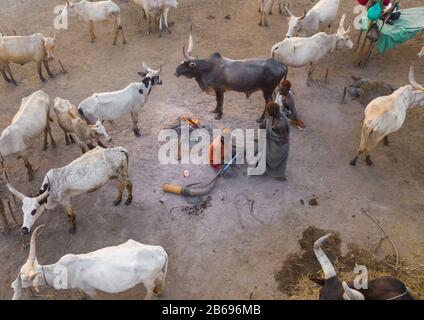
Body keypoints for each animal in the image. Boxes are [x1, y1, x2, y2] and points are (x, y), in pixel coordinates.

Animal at [3, 146, 132, 234]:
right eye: (23, 211)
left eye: (33, 211)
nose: (24, 229)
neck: (50, 189)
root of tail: (120, 149)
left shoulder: (65, 201)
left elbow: (70, 215)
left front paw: (72, 228)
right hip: (115, 176)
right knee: (121, 186)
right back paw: (118, 200)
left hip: (121, 174)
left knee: (129, 184)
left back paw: (129, 200)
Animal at [11, 225, 168, 300]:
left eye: (25, 279)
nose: (13, 286)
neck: (64, 270)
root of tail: (160, 250)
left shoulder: (90, 289)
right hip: (155, 273)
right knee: (160, 277)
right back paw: (160, 291)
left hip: (147, 280)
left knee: (149, 290)